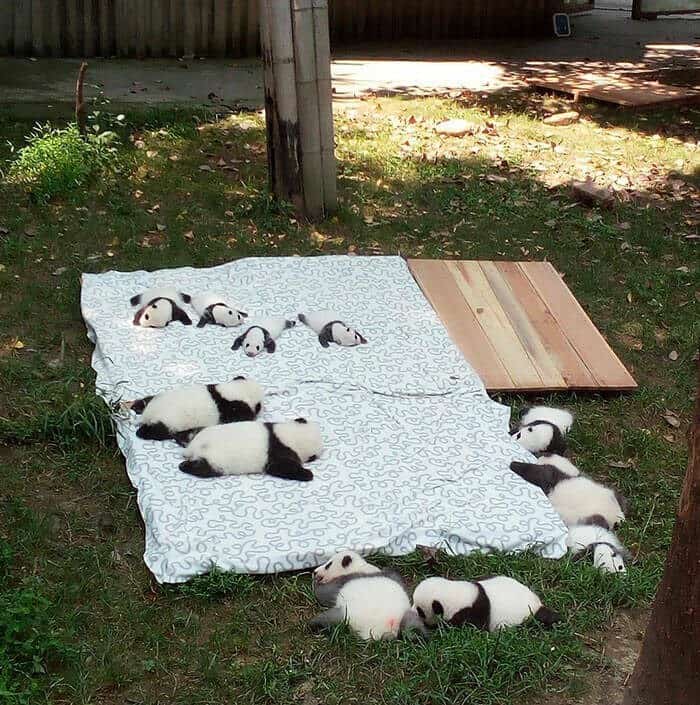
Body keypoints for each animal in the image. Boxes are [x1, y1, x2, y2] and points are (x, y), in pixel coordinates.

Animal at [130, 377, 263, 442]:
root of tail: (148, 415)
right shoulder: (234, 410)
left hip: (159, 399)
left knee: (149, 400)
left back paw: (137, 406)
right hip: (168, 423)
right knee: (156, 431)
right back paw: (142, 431)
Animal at [179, 417, 322, 481]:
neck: (291, 435)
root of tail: (193, 448)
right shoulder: (279, 453)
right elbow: (282, 468)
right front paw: (307, 474)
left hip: (204, 432)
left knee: (193, 432)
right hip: (215, 462)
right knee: (202, 469)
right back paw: (184, 465)